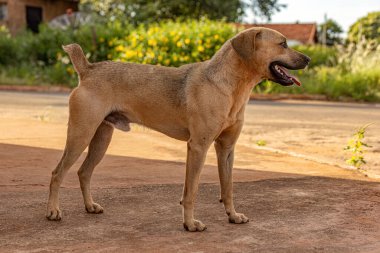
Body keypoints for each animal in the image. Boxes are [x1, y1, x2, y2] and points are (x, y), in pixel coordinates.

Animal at [46, 27, 310, 231]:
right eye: (283, 44)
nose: (308, 59)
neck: (228, 85)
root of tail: (87, 69)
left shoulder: (226, 149)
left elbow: (228, 187)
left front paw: (233, 215)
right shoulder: (198, 147)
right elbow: (191, 191)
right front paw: (190, 224)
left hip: (101, 138)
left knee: (84, 172)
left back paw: (89, 206)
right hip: (81, 134)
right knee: (57, 173)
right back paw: (53, 211)